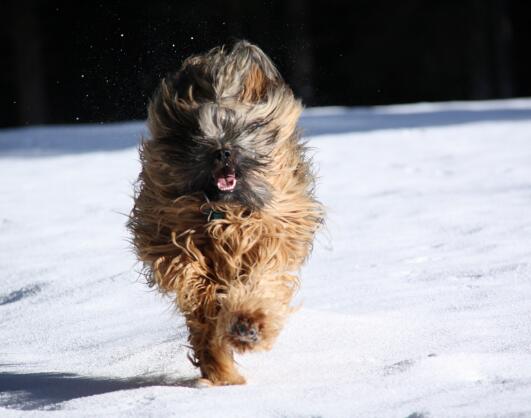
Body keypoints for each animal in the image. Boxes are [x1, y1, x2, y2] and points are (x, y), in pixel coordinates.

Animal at [128, 40, 323, 386]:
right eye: (199, 133)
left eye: (242, 128)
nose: (223, 152)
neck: (225, 212)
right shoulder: (174, 237)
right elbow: (195, 285)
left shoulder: (272, 235)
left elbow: (260, 281)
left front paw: (248, 323)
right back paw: (221, 370)